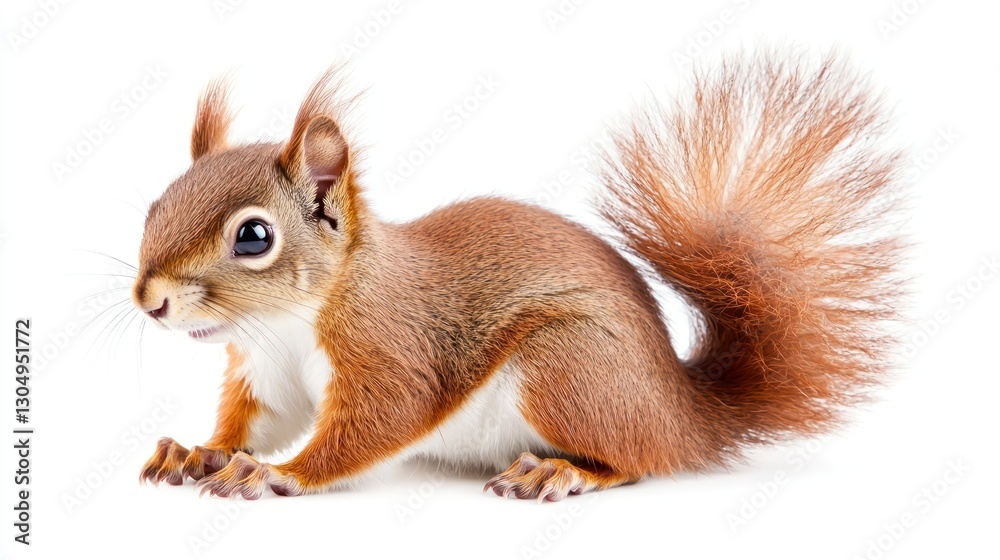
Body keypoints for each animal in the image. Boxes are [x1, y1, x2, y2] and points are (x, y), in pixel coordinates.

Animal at [135, 52, 905, 501]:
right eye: (156, 203)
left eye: (254, 237)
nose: (149, 301)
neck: (289, 323)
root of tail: (684, 412)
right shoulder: (266, 372)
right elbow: (260, 420)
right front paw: (200, 451)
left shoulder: (391, 352)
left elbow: (375, 426)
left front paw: (279, 472)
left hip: (566, 367)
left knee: (638, 459)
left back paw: (560, 469)